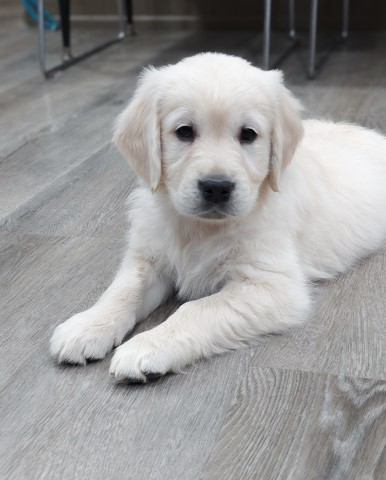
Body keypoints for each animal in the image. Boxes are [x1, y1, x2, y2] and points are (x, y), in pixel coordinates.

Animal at [49, 52, 386, 382]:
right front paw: (89, 326)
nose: (216, 187)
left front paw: (148, 345)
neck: (201, 228)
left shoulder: (273, 286)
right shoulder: (150, 256)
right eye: (184, 131)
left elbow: (197, 309)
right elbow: (123, 289)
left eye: (248, 134)